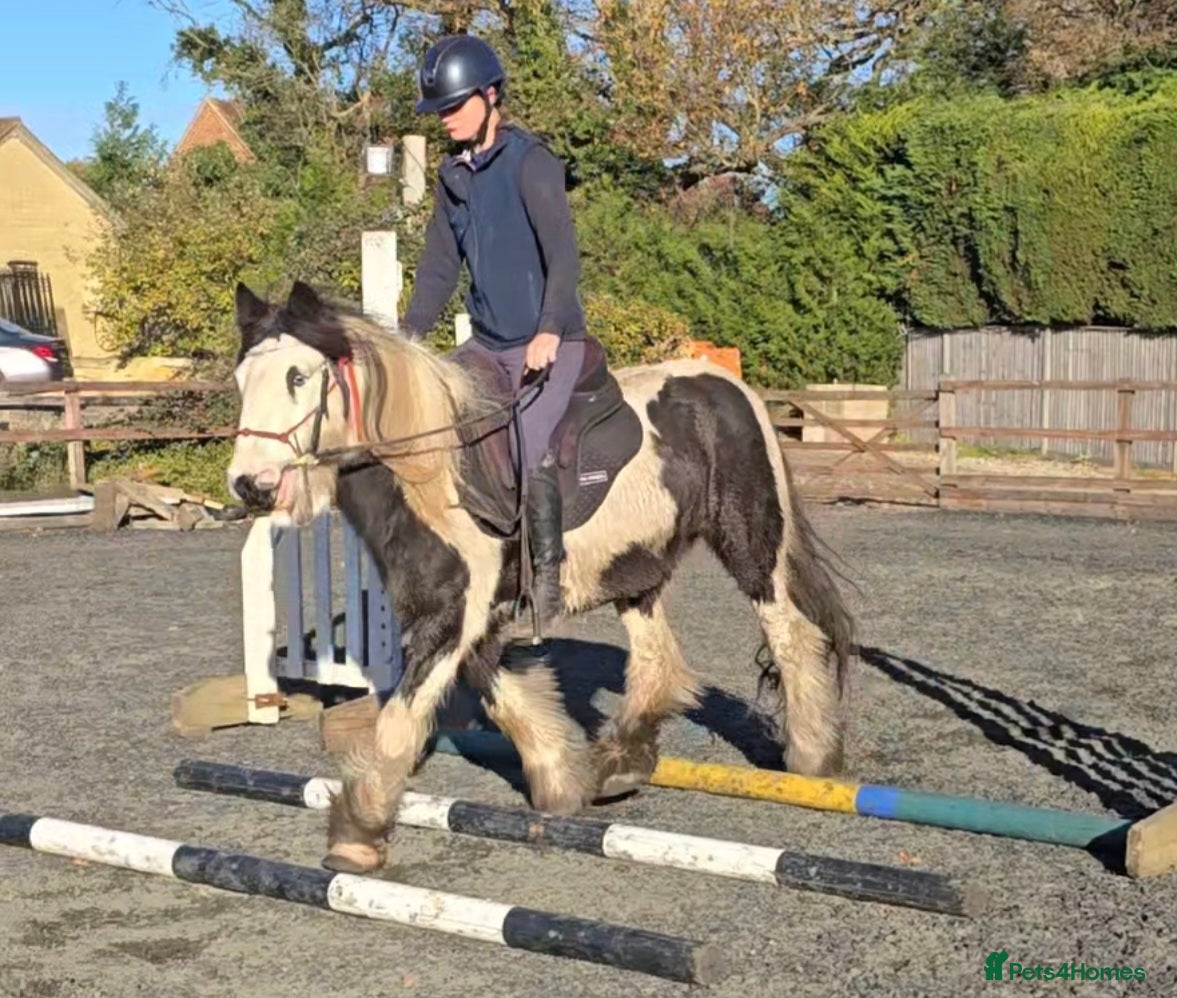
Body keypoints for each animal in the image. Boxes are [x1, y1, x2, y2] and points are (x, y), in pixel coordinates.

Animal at [227, 279, 855, 874]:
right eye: (240, 380)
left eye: (298, 376)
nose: (250, 485)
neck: (431, 472)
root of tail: (729, 386)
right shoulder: (468, 615)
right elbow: (503, 696)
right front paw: (559, 779)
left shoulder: (455, 613)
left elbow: (401, 720)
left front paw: (358, 835)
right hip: (636, 569)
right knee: (657, 660)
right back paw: (620, 761)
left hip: (751, 545)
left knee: (790, 635)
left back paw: (811, 756)